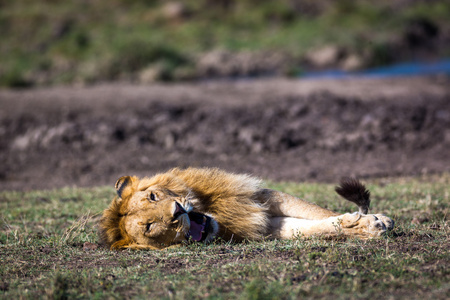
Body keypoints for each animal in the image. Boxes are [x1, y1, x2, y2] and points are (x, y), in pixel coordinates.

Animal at [99, 168, 394, 250]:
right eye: (149, 227)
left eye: (153, 196)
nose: (177, 212)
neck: (218, 215)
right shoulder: (263, 227)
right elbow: (315, 229)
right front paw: (366, 226)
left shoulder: (260, 198)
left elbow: (317, 213)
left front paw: (373, 219)